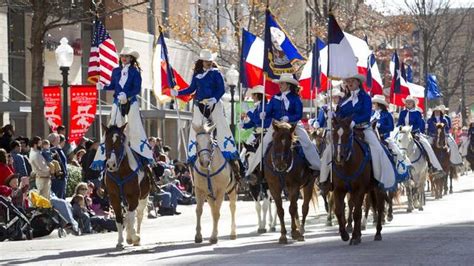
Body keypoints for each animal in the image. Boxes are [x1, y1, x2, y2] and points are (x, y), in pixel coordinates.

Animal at [330, 117, 386, 246]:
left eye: (348, 134)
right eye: (333, 134)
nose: (339, 157)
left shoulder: (359, 190)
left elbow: (356, 213)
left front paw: (354, 237)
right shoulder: (338, 190)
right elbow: (339, 211)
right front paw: (345, 235)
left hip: (378, 189)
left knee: (379, 207)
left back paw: (378, 233)